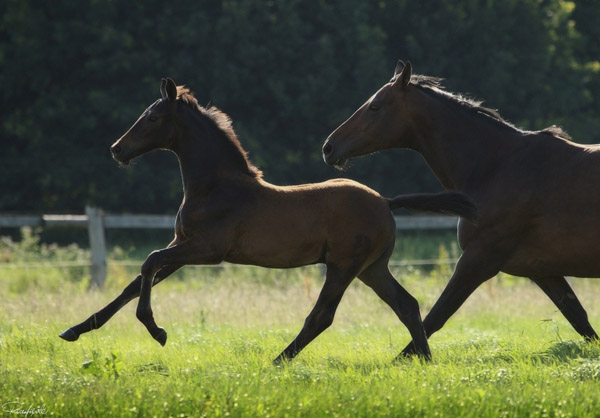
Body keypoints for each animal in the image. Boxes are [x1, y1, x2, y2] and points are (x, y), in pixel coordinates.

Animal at [58, 77, 476, 362]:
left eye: (152, 117)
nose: (117, 149)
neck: (215, 186)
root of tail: (386, 202)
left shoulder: (206, 250)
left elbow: (147, 263)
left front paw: (156, 330)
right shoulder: (182, 246)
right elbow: (134, 282)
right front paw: (75, 329)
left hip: (344, 266)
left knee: (322, 316)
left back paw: (277, 361)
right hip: (371, 268)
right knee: (407, 304)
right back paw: (424, 360)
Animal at [324, 61, 600, 356]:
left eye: (375, 106)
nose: (329, 147)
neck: (497, 166)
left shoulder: (478, 259)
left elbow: (437, 315)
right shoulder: (542, 271)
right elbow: (578, 317)